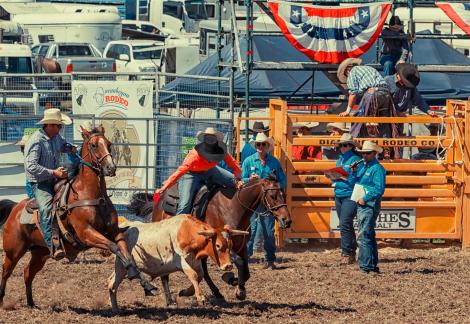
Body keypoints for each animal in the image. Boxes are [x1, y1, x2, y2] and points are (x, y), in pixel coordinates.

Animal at [0, 125, 156, 308]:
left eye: (109, 144)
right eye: (94, 145)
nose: (111, 168)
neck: (89, 194)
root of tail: (15, 209)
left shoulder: (114, 232)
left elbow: (126, 252)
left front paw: (146, 284)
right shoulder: (86, 233)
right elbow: (114, 247)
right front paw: (133, 275)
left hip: (40, 253)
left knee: (27, 273)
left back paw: (31, 303)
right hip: (14, 251)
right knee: (6, 271)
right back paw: (3, 301)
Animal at [106, 214, 246, 310]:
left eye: (230, 245)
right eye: (217, 245)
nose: (228, 266)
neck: (187, 232)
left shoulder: (195, 262)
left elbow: (200, 276)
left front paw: (186, 292)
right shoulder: (182, 262)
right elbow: (193, 275)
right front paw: (200, 297)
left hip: (121, 268)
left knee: (111, 282)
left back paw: (114, 306)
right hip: (122, 266)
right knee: (112, 283)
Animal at [129, 175, 290, 302]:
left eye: (284, 194)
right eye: (273, 196)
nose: (287, 220)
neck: (233, 208)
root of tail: (159, 199)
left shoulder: (241, 245)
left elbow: (246, 270)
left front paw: (238, 286)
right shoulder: (221, 245)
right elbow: (238, 262)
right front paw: (233, 283)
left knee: (204, 271)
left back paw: (204, 292)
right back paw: (170, 300)